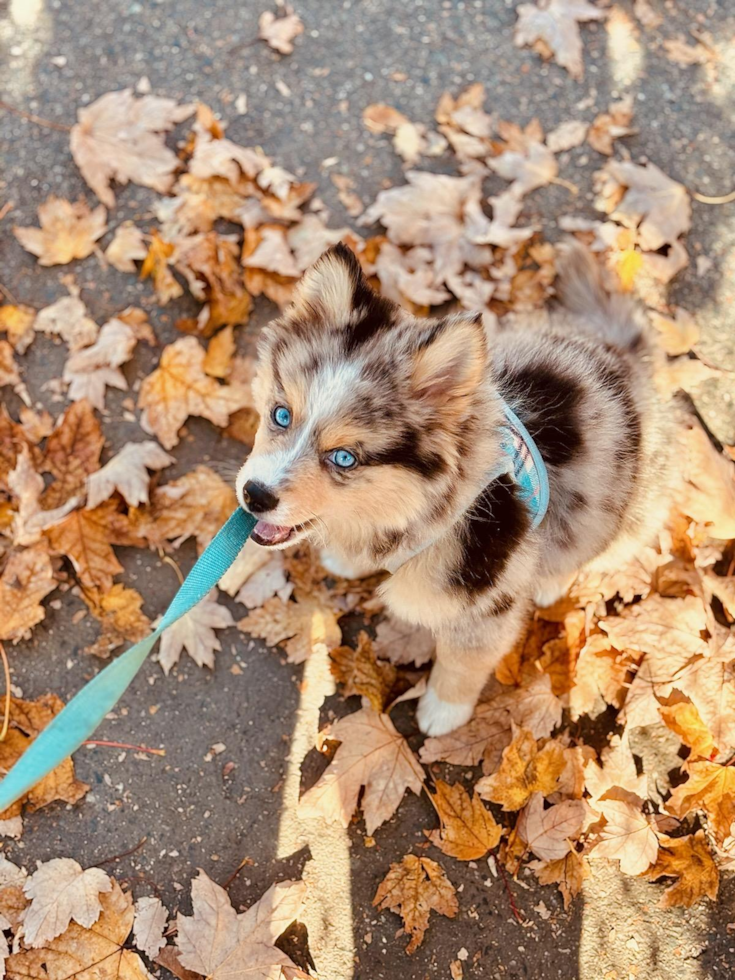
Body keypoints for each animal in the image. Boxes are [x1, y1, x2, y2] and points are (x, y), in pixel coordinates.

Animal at [237, 243, 672, 736]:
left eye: (344, 458)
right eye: (281, 414)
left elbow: (462, 663)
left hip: (625, 518)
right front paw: (348, 559)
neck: (431, 506)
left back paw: (551, 582)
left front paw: (442, 712)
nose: (254, 495)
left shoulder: (486, 604)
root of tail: (628, 362)